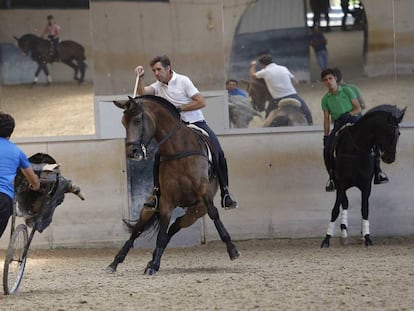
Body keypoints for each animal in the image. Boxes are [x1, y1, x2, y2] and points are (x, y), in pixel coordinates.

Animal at [108, 95, 241, 276]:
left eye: (137, 120)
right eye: (123, 122)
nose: (132, 152)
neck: (178, 149)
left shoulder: (204, 193)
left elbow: (214, 214)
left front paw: (232, 249)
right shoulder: (166, 200)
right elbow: (160, 233)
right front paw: (153, 265)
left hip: (196, 211)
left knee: (175, 225)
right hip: (151, 208)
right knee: (138, 230)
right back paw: (116, 262)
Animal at [322, 105, 406, 249]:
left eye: (399, 133)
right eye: (389, 133)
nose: (390, 158)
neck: (356, 149)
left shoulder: (366, 185)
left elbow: (365, 209)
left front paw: (367, 237)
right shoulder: (341, 184)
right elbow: (335, 210)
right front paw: (327, 239)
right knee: (344, 203)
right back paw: (344, 233)